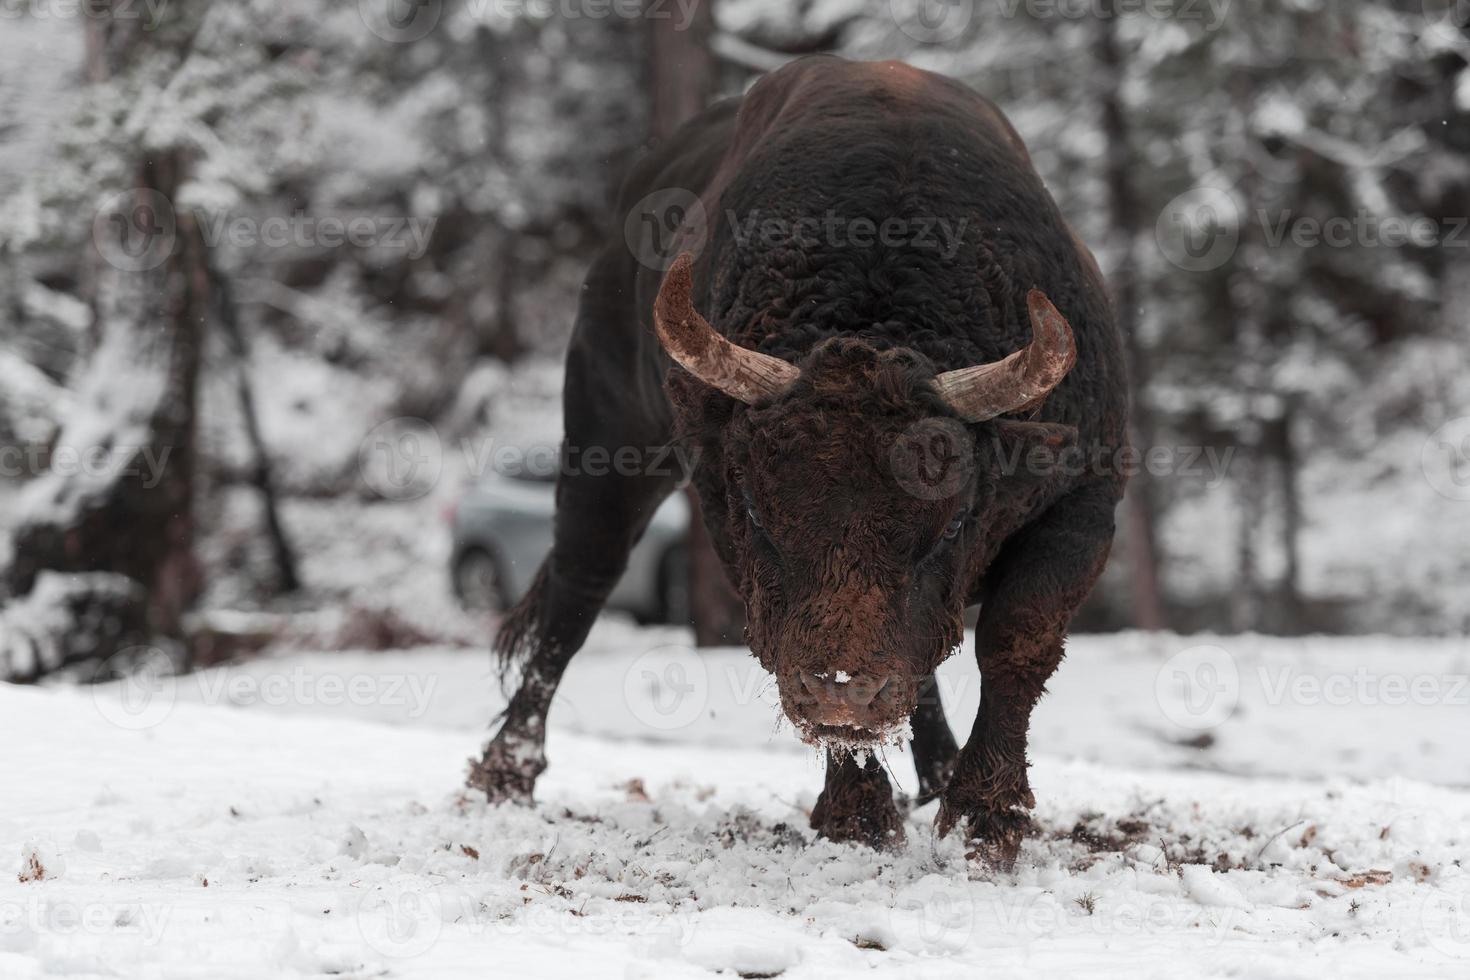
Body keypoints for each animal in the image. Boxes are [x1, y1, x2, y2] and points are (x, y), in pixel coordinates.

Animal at [470, 55, 1123, 863]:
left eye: (952, 523)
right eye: (758, 509)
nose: (842, 688)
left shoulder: (1085, 500)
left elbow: (1014, 639)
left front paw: (983, 814)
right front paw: (858, 818)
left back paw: (937, 775)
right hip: (608, 444)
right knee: (577, 590)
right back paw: (505, 772)